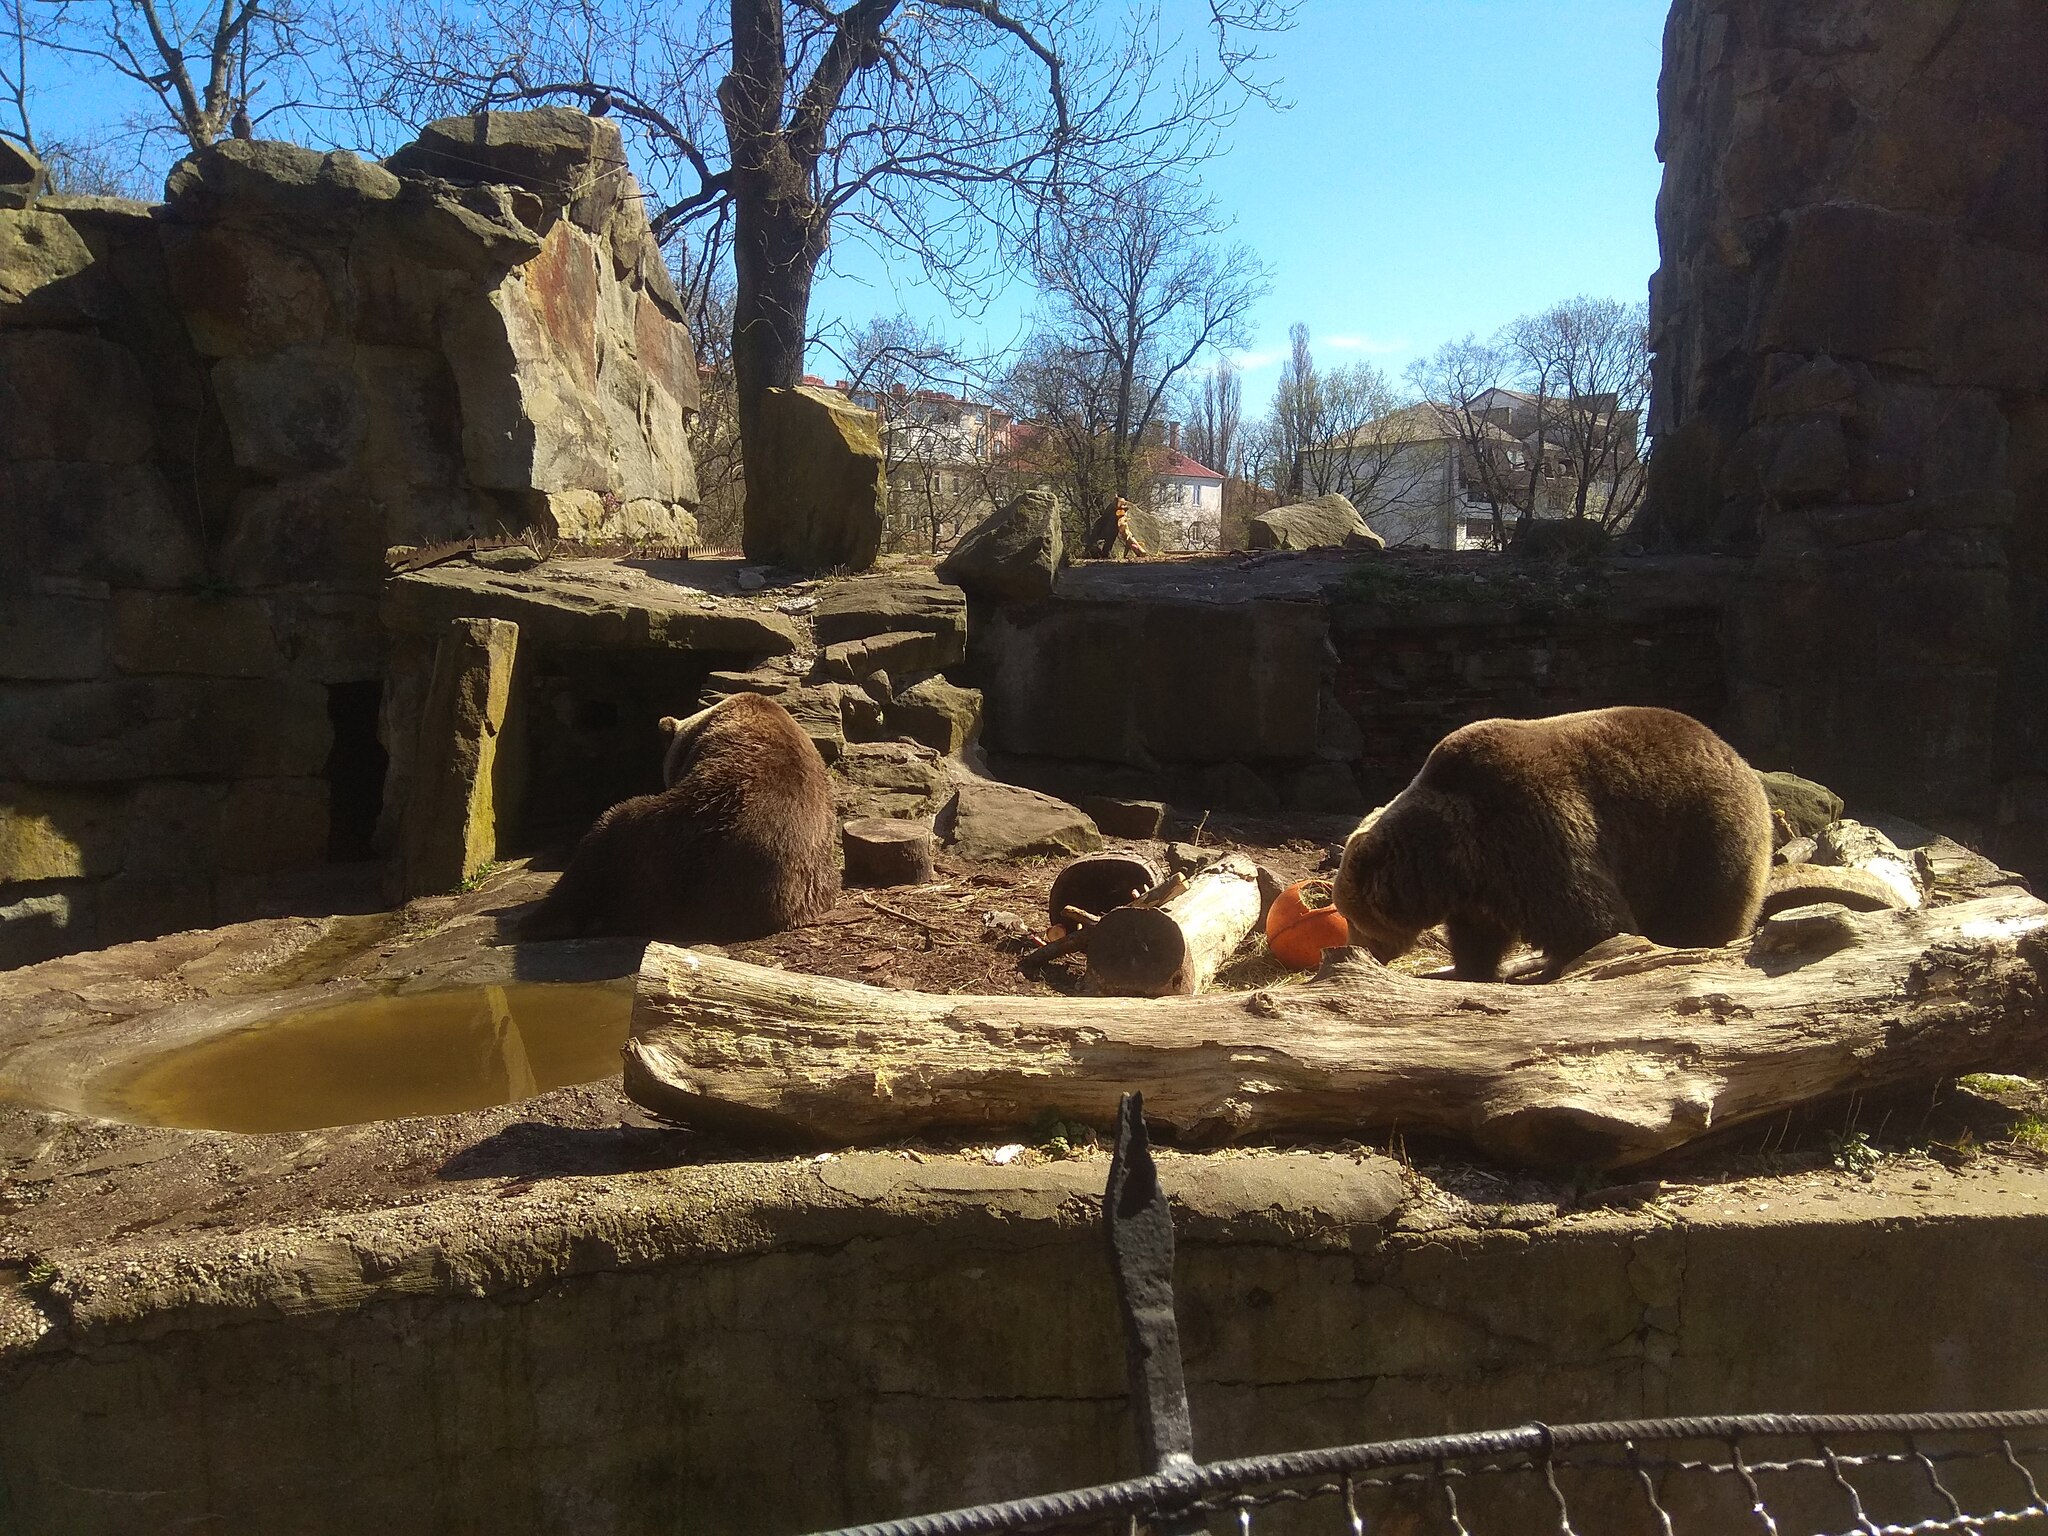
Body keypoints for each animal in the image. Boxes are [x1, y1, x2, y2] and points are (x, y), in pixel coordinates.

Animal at [1335, 708, 1769, 987]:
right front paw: (1476, 969)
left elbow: (1590, 919)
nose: (1356, 949)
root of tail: (1738, 757)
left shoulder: (1530, 829)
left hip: (1700, 832)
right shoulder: (1483, 886)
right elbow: (1479, 935)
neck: (1452, 861)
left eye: (1353, 918)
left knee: (1700, 907)